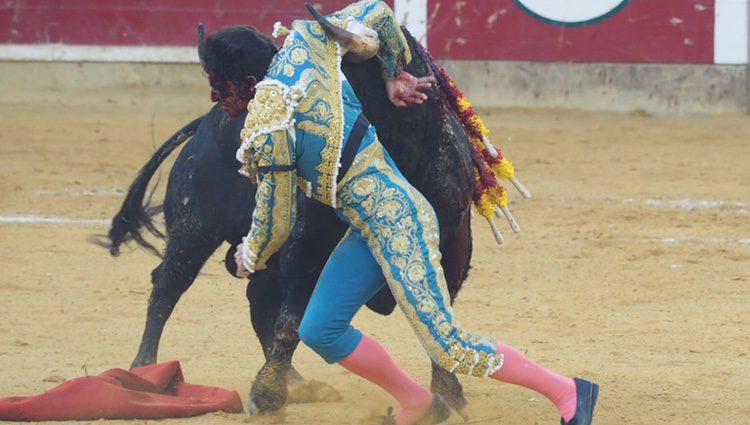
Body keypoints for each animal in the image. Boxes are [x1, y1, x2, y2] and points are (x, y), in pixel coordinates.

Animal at [106, 31, 476, 412]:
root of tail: (205, 124)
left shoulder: (453, 242)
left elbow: (438, 313)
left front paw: (448, 391)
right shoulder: (307, 239)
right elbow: (292, 317)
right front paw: (266, 395)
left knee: (257, 298)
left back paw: (296, 381)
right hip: (194, 230)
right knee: (168, 286)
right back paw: (144, 369)